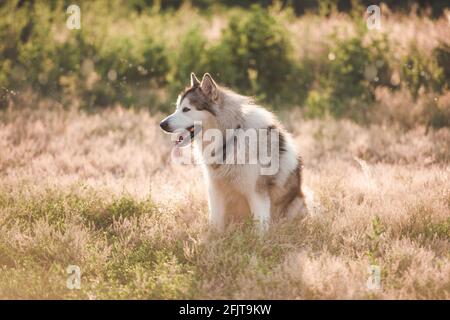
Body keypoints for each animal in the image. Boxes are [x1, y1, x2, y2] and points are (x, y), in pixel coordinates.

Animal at [160, 72, 308, 232]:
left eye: (186, 109)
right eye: (177, 108)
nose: (162, 124)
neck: (231, 139)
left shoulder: (257, 194)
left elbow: (260, 229)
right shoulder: (215, 189)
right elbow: (216, 222)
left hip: (297, 203)